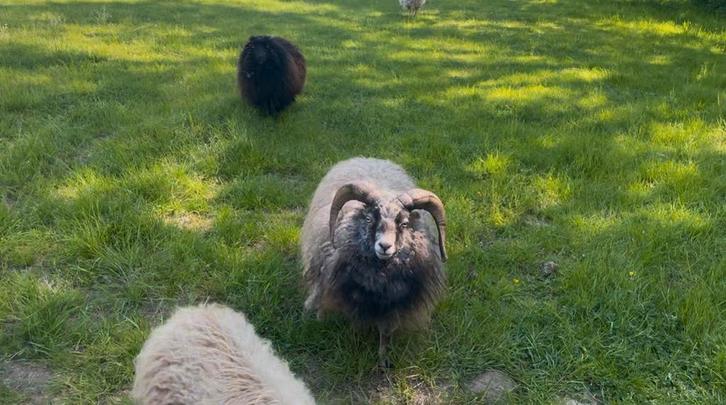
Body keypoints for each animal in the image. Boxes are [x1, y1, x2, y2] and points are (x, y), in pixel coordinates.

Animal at [301, 157, 447, 368]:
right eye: (369, 219)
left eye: (404, 223)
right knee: (319, 290)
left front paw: (383, 359)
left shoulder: (394, 303)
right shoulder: (348, 290)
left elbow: (385, 332)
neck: (379, 277)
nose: (384, 246)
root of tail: (368, 158)